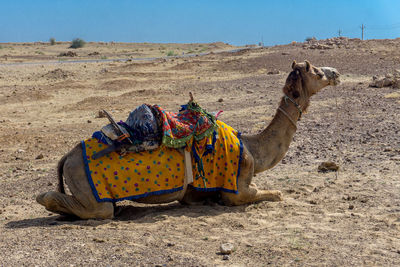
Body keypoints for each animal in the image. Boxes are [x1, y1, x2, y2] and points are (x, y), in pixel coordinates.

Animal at [36, 60, 340, 220]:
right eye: (316, 72)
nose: (336, 73)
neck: (252, 148)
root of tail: (67, 157)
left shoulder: (195, 191)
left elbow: (194, 197)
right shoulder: (237, 187)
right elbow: (273, 193)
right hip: (92, 193)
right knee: (73, 203)